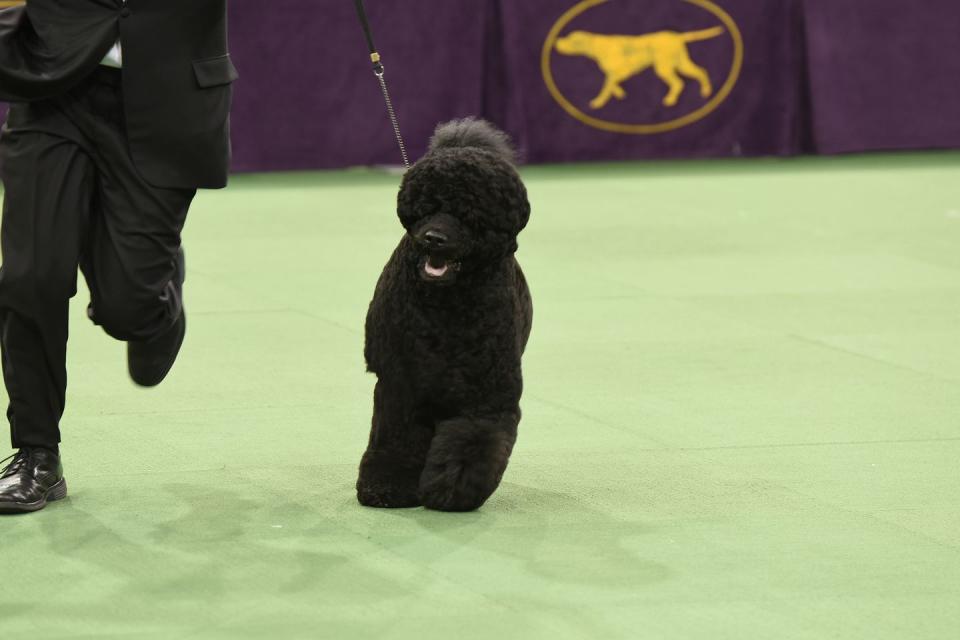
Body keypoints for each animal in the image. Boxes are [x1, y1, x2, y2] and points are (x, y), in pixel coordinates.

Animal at [356, 119, 532, 510]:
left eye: (470, 215)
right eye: (428, 206)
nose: (434, 237)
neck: (446, 308)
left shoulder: (487, 396)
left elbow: (472, 443)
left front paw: (453, 488)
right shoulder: (400, 385)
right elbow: (396, 440)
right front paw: (387, 486)